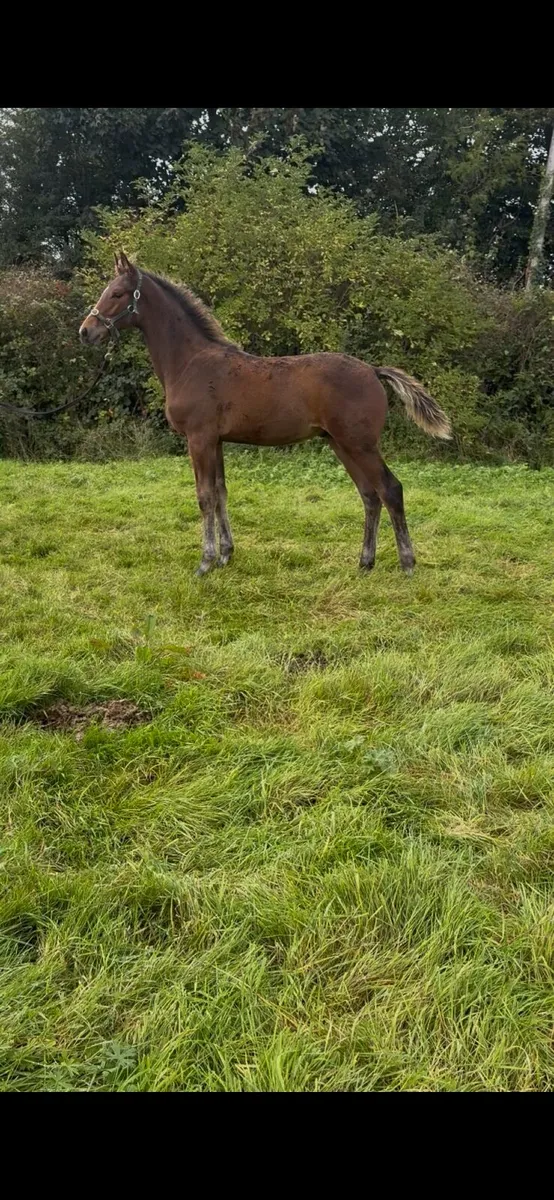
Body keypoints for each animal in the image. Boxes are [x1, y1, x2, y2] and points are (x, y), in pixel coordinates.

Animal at [79, 252, 452, 577]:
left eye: (116, 293)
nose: (86, 331)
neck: (190, 362)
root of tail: (374, 371)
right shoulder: (216, 441)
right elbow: (220, 493)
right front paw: (226, 555)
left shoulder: (199, 438)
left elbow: (204, 497)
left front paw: (205, 562)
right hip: (341, 443)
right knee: (370, 495)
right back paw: (365, 563)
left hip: (360, 443)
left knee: (390, 489)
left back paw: (407, 564)